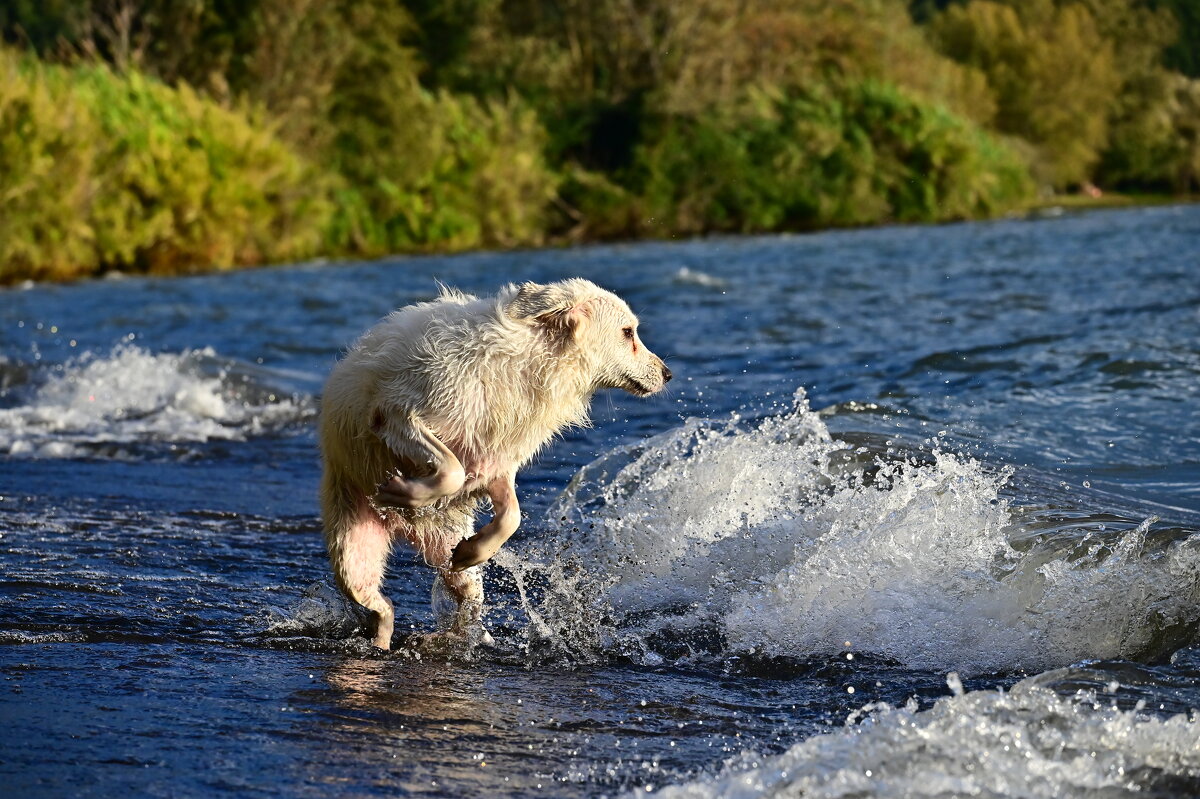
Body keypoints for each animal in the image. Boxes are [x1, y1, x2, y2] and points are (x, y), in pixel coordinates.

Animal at [319, 279, 676, 647]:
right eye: (628, 332)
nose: (668, 374)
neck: (531, 365)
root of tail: (406, 530)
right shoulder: (396, 415)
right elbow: (451, 470)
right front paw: (399, 493)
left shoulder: (497, 464)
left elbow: (511, 517)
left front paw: (475, 550)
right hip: (350, 551)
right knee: (381, 606)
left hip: (451, 562)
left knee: (451, 604)